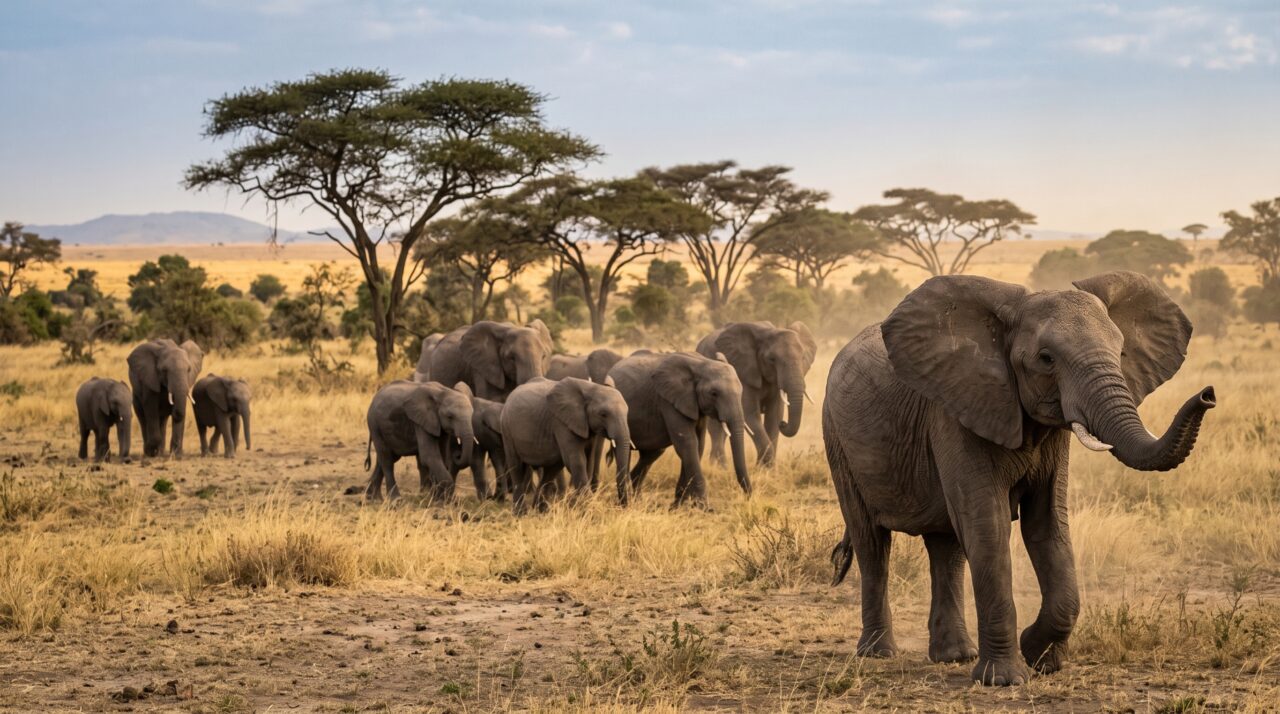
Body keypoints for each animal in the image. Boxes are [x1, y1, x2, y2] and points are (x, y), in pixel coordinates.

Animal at [500, 377, 632, 514]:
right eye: (603, 414)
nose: (621, 506)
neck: (590, 388)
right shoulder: (562, 423)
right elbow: (577, 461)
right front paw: (588, 511)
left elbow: (588, 461)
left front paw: (581, 507)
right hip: (506, 430)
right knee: (517, 467)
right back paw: (521, 514)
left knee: (551, 470)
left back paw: (541, 511)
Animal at [608, 351, 751, 507]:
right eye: (714, 393)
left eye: (742, 391)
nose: (748, 497)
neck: (701, 363)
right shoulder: (668, 401)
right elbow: (687, 443)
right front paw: (704, 507)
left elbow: (698, 445)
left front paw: (679, 505)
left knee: (652, 454)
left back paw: (637, 499)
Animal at [696, 321, 816, 466]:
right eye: (772, 359)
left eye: (803, 358)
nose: (783, 424)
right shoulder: (743, 373)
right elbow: (750, 414)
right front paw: (764, 466)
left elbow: (774, 414)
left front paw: (766, 468)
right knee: (716, 428)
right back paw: (719, 466)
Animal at [823, 271, 1215, 686]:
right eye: (1046, 359)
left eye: (1122, 352)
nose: (1207, 394)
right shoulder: (957, 412)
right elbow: (989, 526)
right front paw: (1004, 679)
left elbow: (1047, 525)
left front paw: (1040, 657)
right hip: (837, 440)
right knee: (872, 542)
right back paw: (878, 653)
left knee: (947, 546)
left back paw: (955, 656)